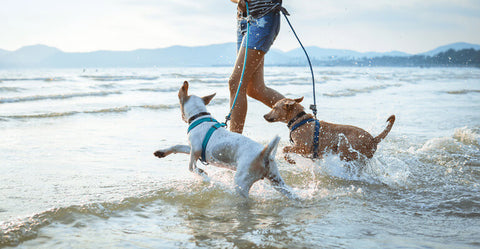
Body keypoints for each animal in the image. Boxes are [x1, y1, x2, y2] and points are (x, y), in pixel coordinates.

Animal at [154, 81, 296, 200]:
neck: (200, 116)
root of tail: (264, 154)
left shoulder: (195, 150)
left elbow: (191, 167)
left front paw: (201, 173)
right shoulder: (192, 149)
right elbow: (177, 147)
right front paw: (162, 152)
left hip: (241, 182)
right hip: (277, 181)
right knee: (291, 193)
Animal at [264, 97, 396, 163]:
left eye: (274, 107)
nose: (264, 115)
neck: (299, 120)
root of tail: (373, 139)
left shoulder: (303, 148)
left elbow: (285, 148)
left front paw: (290, 160)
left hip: (346, 150)